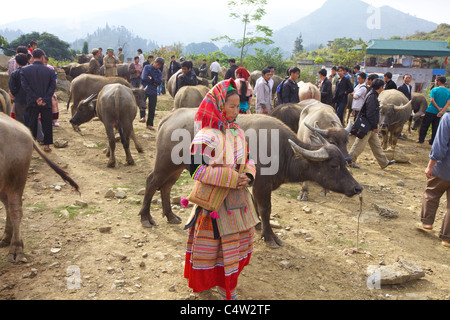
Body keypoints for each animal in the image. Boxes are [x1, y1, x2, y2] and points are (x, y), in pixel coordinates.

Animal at [0, 114, 79, 264]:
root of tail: (25, 130)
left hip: (15, 178)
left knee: (15, 209)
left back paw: (16, 250)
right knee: (8, 205)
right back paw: (6, 238)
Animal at [137, 109, 362, 249]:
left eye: (344, 162)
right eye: (334, 165)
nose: (357, 188)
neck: (284, 151)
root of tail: (168, 119)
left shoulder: (254, 183)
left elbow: (256, 208)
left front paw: (258, 226)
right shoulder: (263, 184)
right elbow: (265, 208)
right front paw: (270, 237)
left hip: (176, 168)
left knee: (166, 187)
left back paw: (170, 215)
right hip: (164, 163)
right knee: (151, 182)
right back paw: (146, 217)